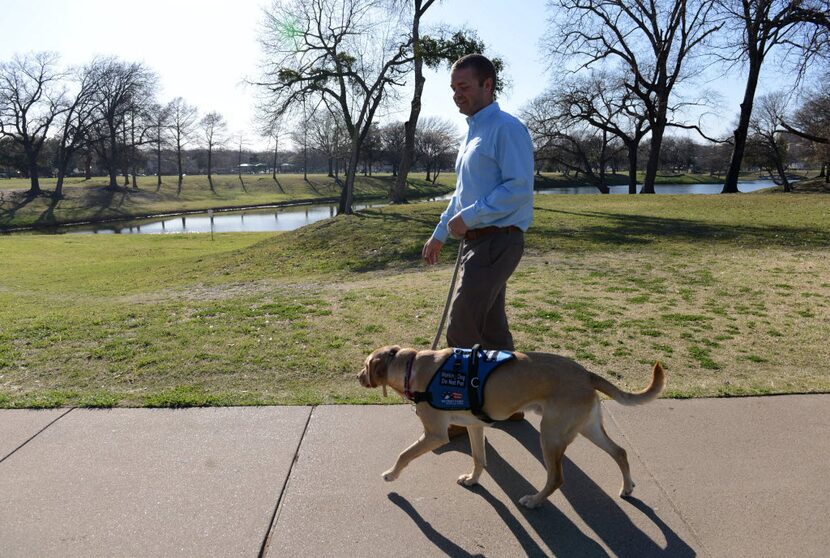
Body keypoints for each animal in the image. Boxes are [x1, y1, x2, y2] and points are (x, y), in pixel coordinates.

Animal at [354, 344, 668, 510]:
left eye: (366, 365)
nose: (357, 377)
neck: (412, 367)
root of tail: (586, 373)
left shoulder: (434, 434)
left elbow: (404, 454)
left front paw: (391, 474)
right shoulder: (474, 426)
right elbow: (478, 458)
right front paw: (473, 479)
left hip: (551, 435)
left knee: (556, 478)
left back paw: (534, 500)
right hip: (586, 428)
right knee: (620, 451)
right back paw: (627, 486)